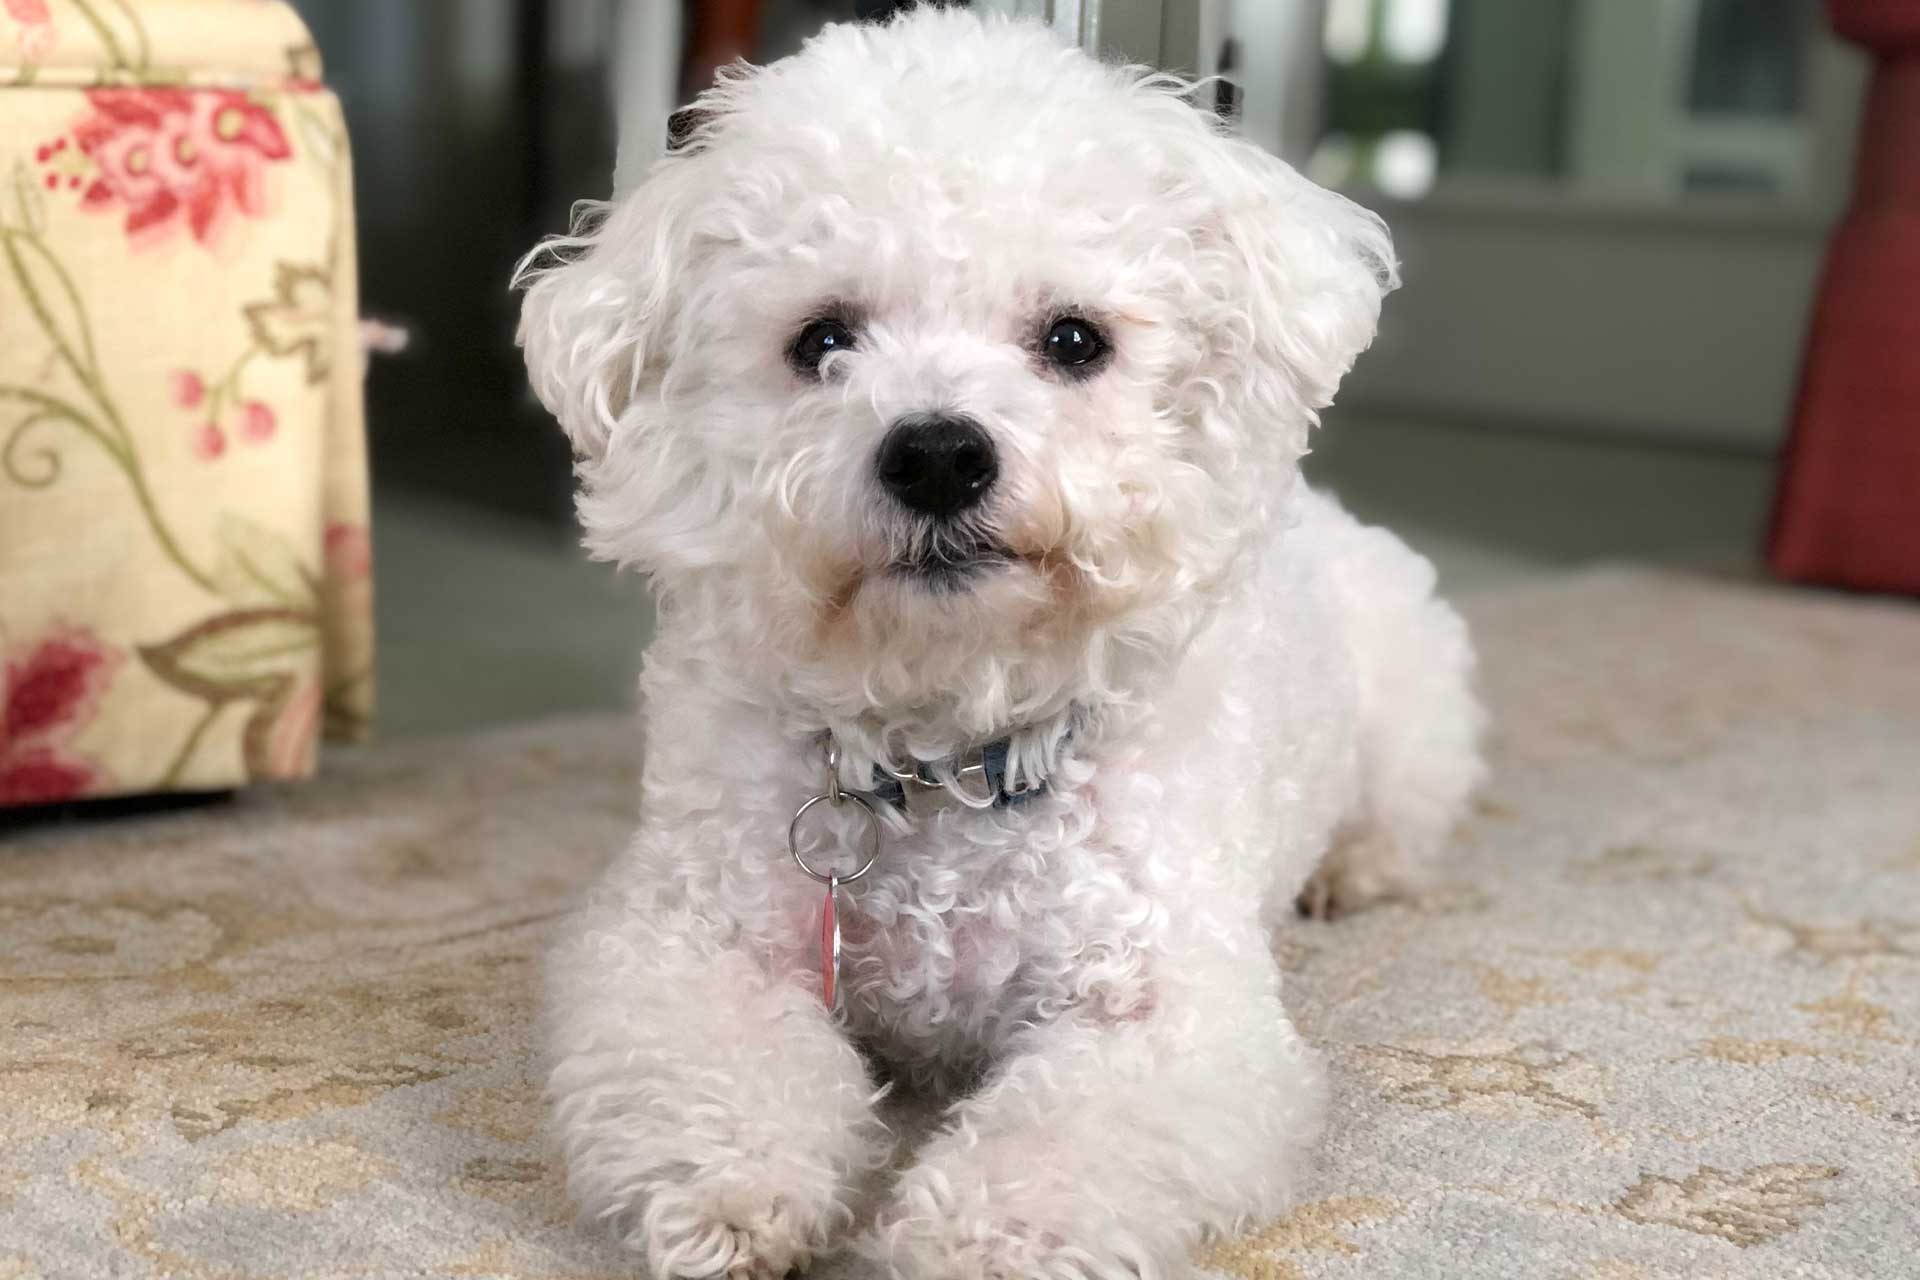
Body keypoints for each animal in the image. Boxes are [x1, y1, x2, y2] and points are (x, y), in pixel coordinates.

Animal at [510, 5, 1482, 1274]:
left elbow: (1063, 1141)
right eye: (822, 339)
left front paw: (986, 1230)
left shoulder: (1169, 1012)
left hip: (1415, 716)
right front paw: (734, 1180)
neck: (948, 743)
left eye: (1073, 338)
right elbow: (717, 1070)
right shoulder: (684, 938)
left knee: (1401, 824)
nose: (936, 454)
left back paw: (1349, 872)